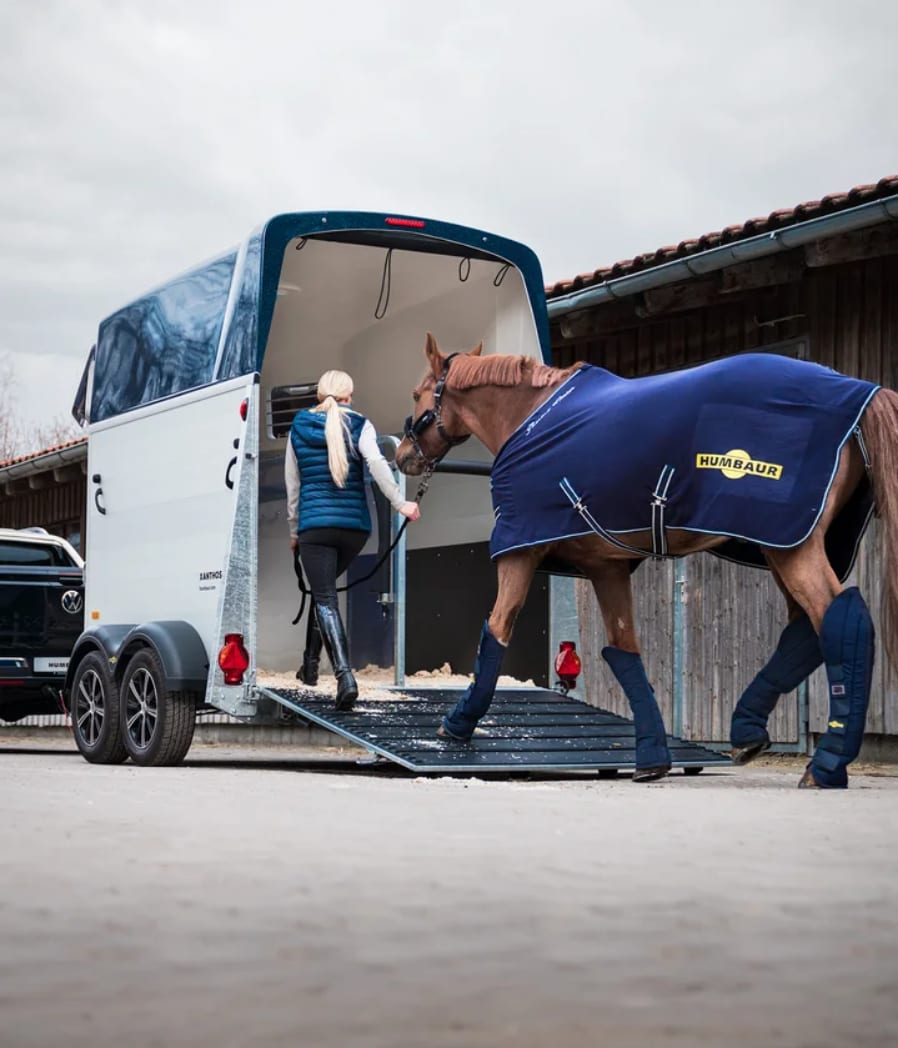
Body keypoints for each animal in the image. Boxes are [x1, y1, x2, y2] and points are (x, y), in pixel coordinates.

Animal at [393, 333, 898, 788]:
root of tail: (856, 393)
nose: (402, 457)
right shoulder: (606, 568)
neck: (530, 420)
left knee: (840, 617)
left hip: (790, 547)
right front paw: (652, 758)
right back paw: (747, 732)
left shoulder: (519, 552)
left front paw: (457, 725)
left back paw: (825, 766)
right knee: (807, 627)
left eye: (418, 393)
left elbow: (497, 630)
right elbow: (625, 652)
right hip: (782, 546)